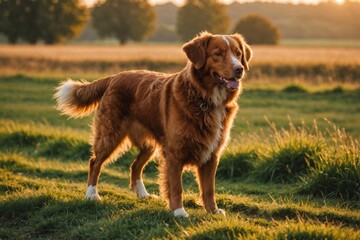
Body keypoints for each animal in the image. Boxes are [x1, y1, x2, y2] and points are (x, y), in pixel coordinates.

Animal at [54, 31, 250, 218]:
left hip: (149, 145)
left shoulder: (212, 153)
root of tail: (114, 77)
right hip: (110, 135)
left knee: (135, 166)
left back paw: (143, 194)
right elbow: (176, 186)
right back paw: (91, 194)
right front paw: (178, 211)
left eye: (238, 53)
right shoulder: (174, 153)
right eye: (218, 53)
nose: (239, 69)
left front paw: (213, 211)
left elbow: (209, 188)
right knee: (94, 162)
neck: (205, 99)